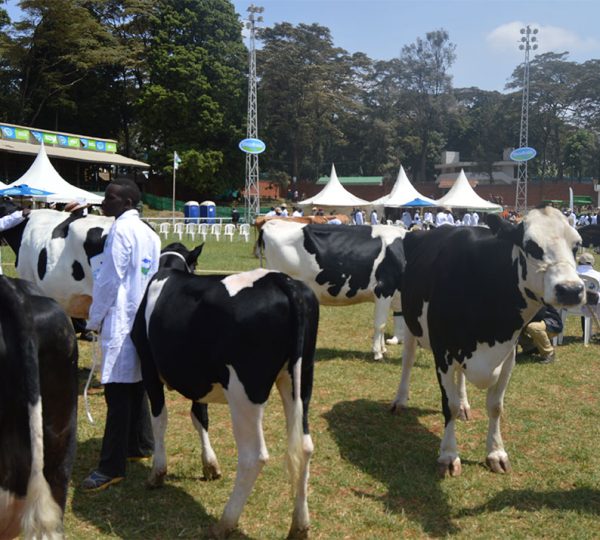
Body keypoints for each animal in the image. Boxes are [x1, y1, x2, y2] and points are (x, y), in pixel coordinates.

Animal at [130, 246, 318, 540]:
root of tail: (282, 281)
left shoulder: (149, 366)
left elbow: (160, 419)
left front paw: (157, 473)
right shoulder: (197, 380)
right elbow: (200, 417)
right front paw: (210, 465)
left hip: (244, 392)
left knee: (253, 456)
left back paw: (224, 523)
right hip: (299, 379)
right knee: (304, 447)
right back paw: (299, 525)